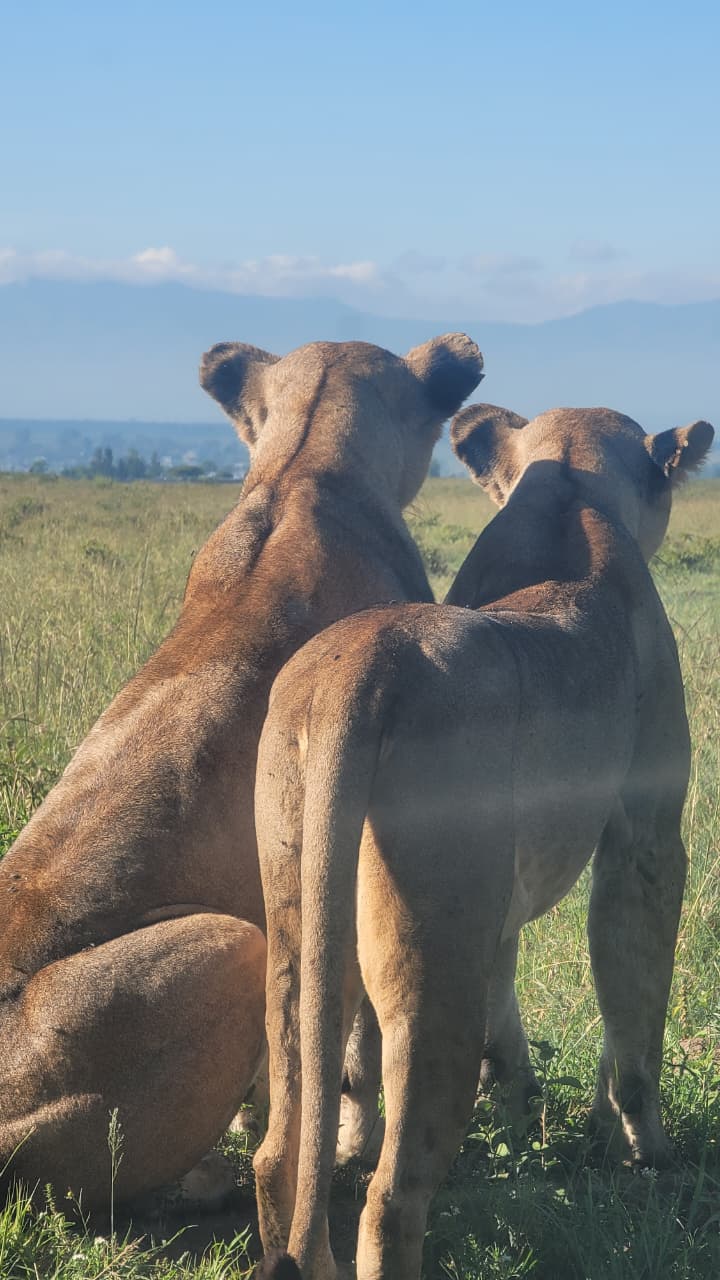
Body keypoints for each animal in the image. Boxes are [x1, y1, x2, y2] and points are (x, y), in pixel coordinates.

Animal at [252, 403, 714, 1279]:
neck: (571, 494)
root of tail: (354, 678)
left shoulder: (504, 899)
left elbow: (520, 996)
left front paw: (531, 1110)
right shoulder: (647, 834)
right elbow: (635, 1008)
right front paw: (646, 1153)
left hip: (297, 912)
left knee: (279, 1151)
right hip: (436, 954)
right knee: (392, 1198)